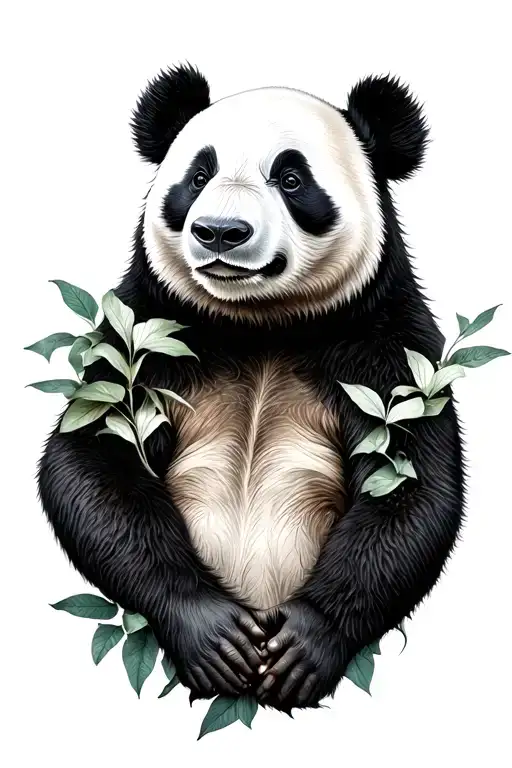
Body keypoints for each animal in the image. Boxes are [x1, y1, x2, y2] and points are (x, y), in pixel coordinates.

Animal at [38, 64, 464, 712]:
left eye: (290, 178)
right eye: (199, 175)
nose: (220, 232)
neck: (261, 323)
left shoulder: (388, 349)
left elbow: (412, 486)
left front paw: (306, 646)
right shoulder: (146, 333)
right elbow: (91, 462)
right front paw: (212, 635)